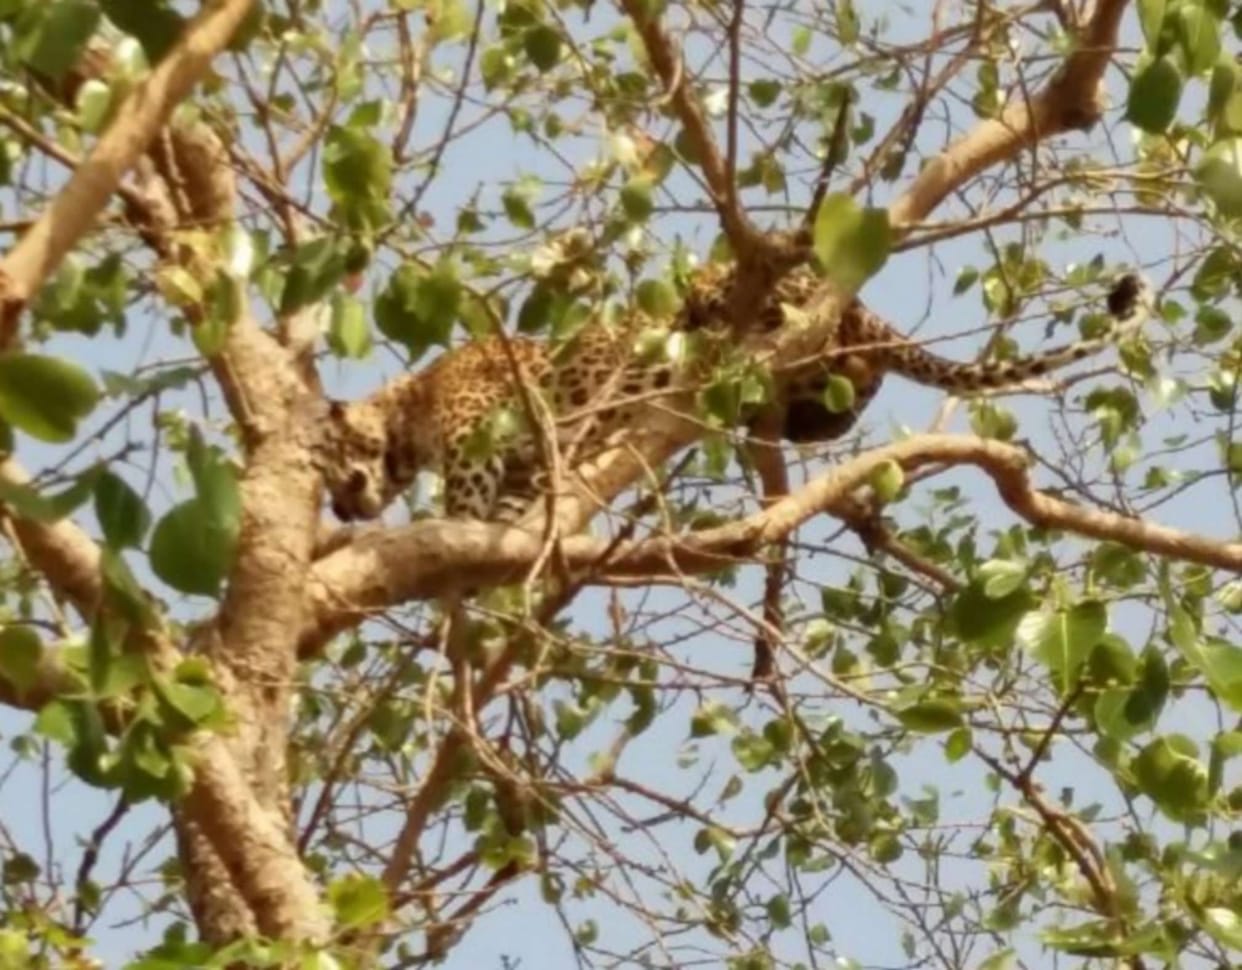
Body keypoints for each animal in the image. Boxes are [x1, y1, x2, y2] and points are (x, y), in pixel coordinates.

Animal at [317, 266, 1152, 524]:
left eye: (327, 462)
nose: (340, 510)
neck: (408, 408)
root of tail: (863, 308)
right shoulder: (524, 462)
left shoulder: (476, 445)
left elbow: (468, 506)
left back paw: (725, 325)